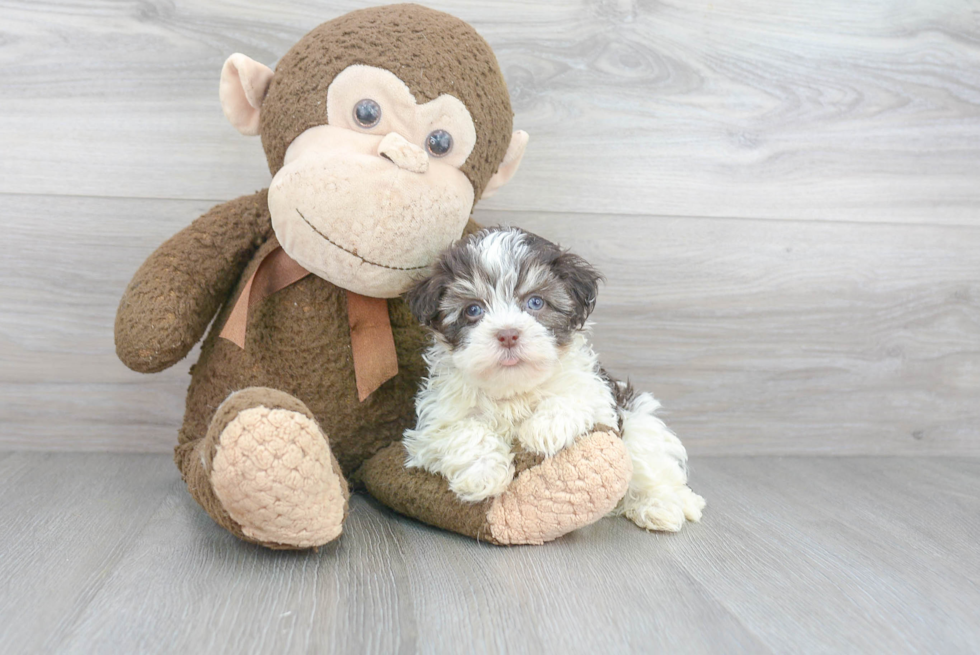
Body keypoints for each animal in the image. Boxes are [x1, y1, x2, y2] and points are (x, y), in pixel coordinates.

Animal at [402, 227, 708, 532]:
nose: (508, 334)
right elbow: (463, 430)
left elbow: (574, 398)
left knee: (651, 463)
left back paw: (662, 506)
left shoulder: (597, 395)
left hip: (640, 419)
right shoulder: (430, 428)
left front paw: (542, 430)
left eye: (536, 302)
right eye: (473, 310)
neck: (513, 390)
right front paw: (483, 474)